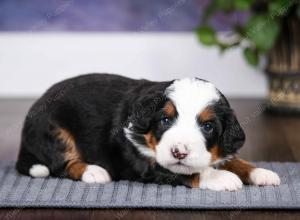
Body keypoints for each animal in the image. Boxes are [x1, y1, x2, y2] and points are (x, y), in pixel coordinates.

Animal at [16, 74, 280, 191]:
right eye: (165, 120)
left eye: (207, 126)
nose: (179, 152)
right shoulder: (145, 164)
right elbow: (184, 171)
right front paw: (221, 178)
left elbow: (233, 160)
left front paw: (261, 172)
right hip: (54, 130)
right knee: (63, 164)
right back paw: (94, 171)